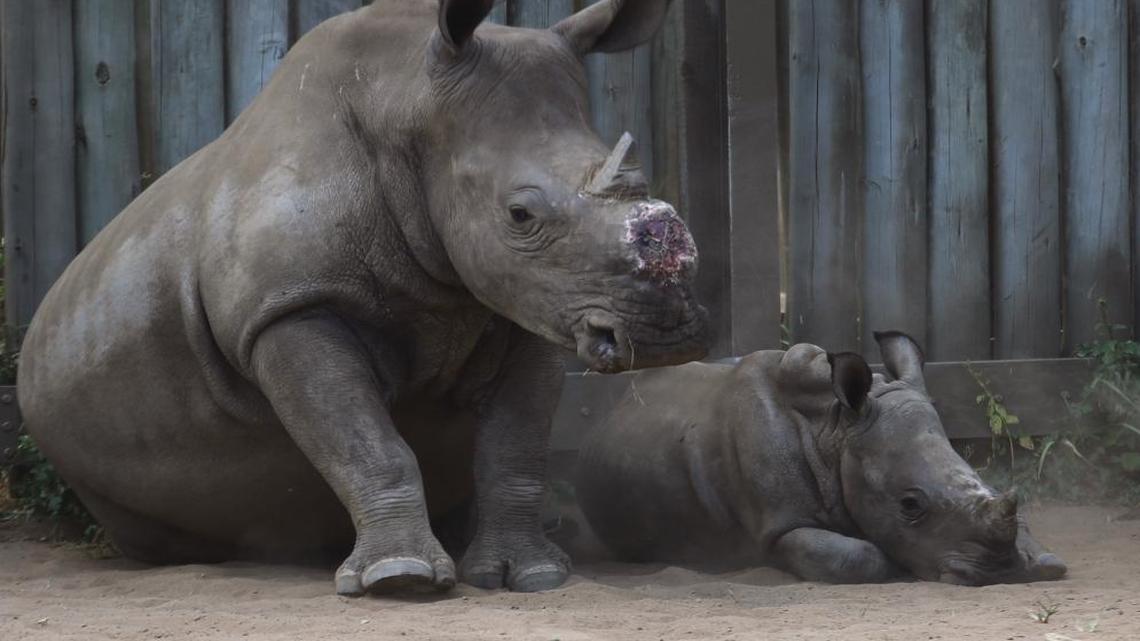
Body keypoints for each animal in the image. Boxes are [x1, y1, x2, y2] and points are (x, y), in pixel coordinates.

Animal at [17, 0, 707, 596]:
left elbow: (517, 446)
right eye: (520, 215)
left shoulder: (535, 303)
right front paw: (398, 580)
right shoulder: (291, 307)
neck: (407, 105)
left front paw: (532, 576)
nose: (667, 334)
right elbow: (365, 441)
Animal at [576, 333, 1067, 585]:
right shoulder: (778, 527)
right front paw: (895, 566)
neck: (835, 431)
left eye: (984, 477)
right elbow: (857, 556)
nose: (1003, 573)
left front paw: (1042, 561)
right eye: (910, 505)